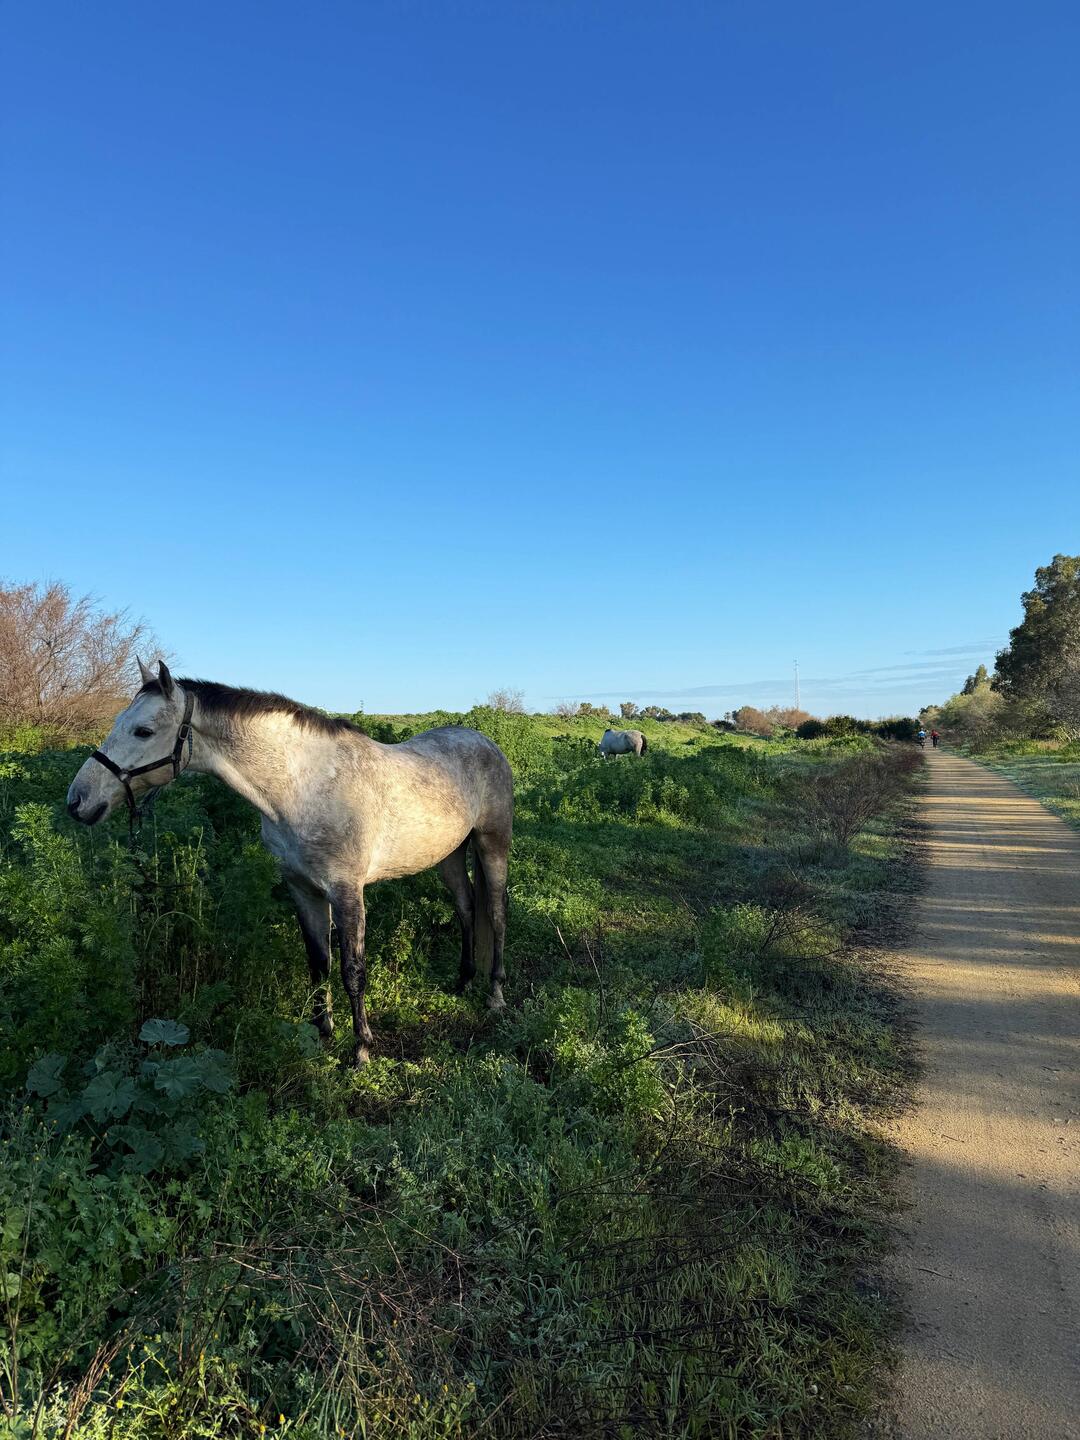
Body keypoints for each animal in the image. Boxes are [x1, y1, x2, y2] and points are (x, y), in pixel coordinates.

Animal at [66, 661, 514, 1065]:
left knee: (495, 913)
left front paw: (361, 1049)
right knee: (466, 908)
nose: (78, 801)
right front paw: (321, 1034)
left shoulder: (346, 892)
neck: (302, 787)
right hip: (449, 855)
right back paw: (463, 980)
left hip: (492, 845)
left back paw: (494, 993)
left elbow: (353, 971)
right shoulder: (302, 888)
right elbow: (318, 963)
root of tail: (486, 742)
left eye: (143, 731)